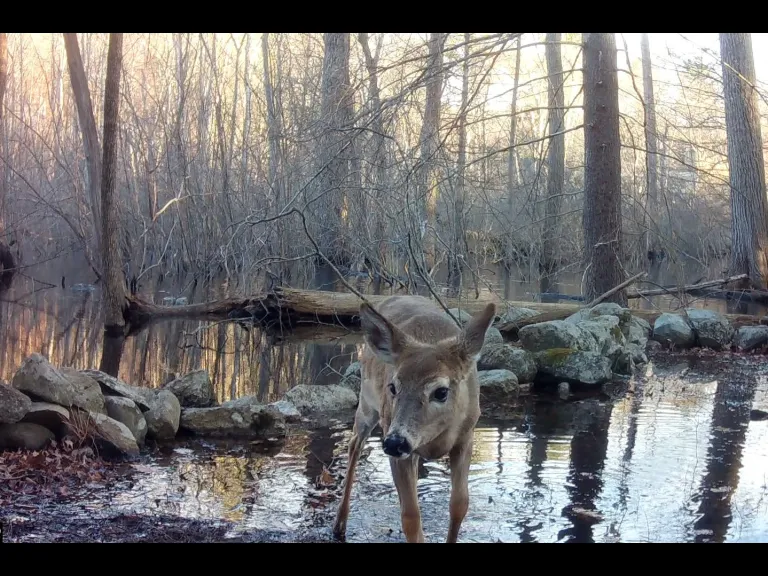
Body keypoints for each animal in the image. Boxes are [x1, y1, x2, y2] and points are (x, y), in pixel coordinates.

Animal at [332, 294, 497, 543]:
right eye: (393, 387)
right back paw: (339, 524)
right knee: (355, 444)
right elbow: (410, 517)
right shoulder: (394, 439)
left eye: (441, 391)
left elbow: (460, 504)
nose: (394, 442)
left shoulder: (466, 437)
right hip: (367, 402)